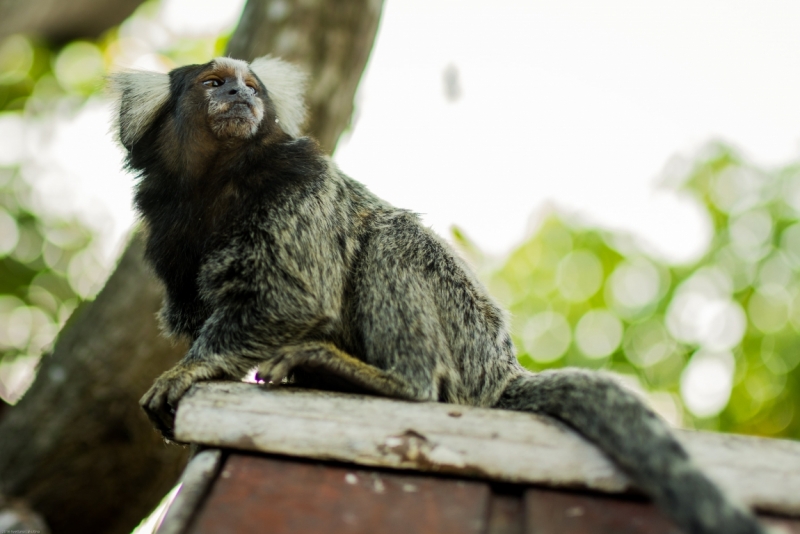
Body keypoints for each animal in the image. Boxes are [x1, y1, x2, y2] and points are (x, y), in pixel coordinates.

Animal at [111, 56, 768, 532]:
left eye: (251, 86)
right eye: (214, 83)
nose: (239, 96)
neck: (218, 183)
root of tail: (501, 369)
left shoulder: (299, 184)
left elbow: (296, 295)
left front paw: (193, 370)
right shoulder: (165, 229)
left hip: (465, 330)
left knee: (391, 245)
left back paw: (389, 379)